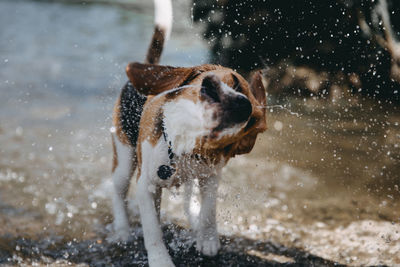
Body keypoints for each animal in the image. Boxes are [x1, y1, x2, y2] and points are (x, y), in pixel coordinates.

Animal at [108, 0, 266, 266]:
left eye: (250, 117)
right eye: (233, 81)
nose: (242, 104)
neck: (185, 145)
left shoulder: (211, 176)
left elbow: (209, 210)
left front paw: (208, 239)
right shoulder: (146, 186)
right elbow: (153, 231)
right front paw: (161, 260)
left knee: (190, 196)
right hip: (125, 158)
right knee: (118, 191)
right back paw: (121, 230)